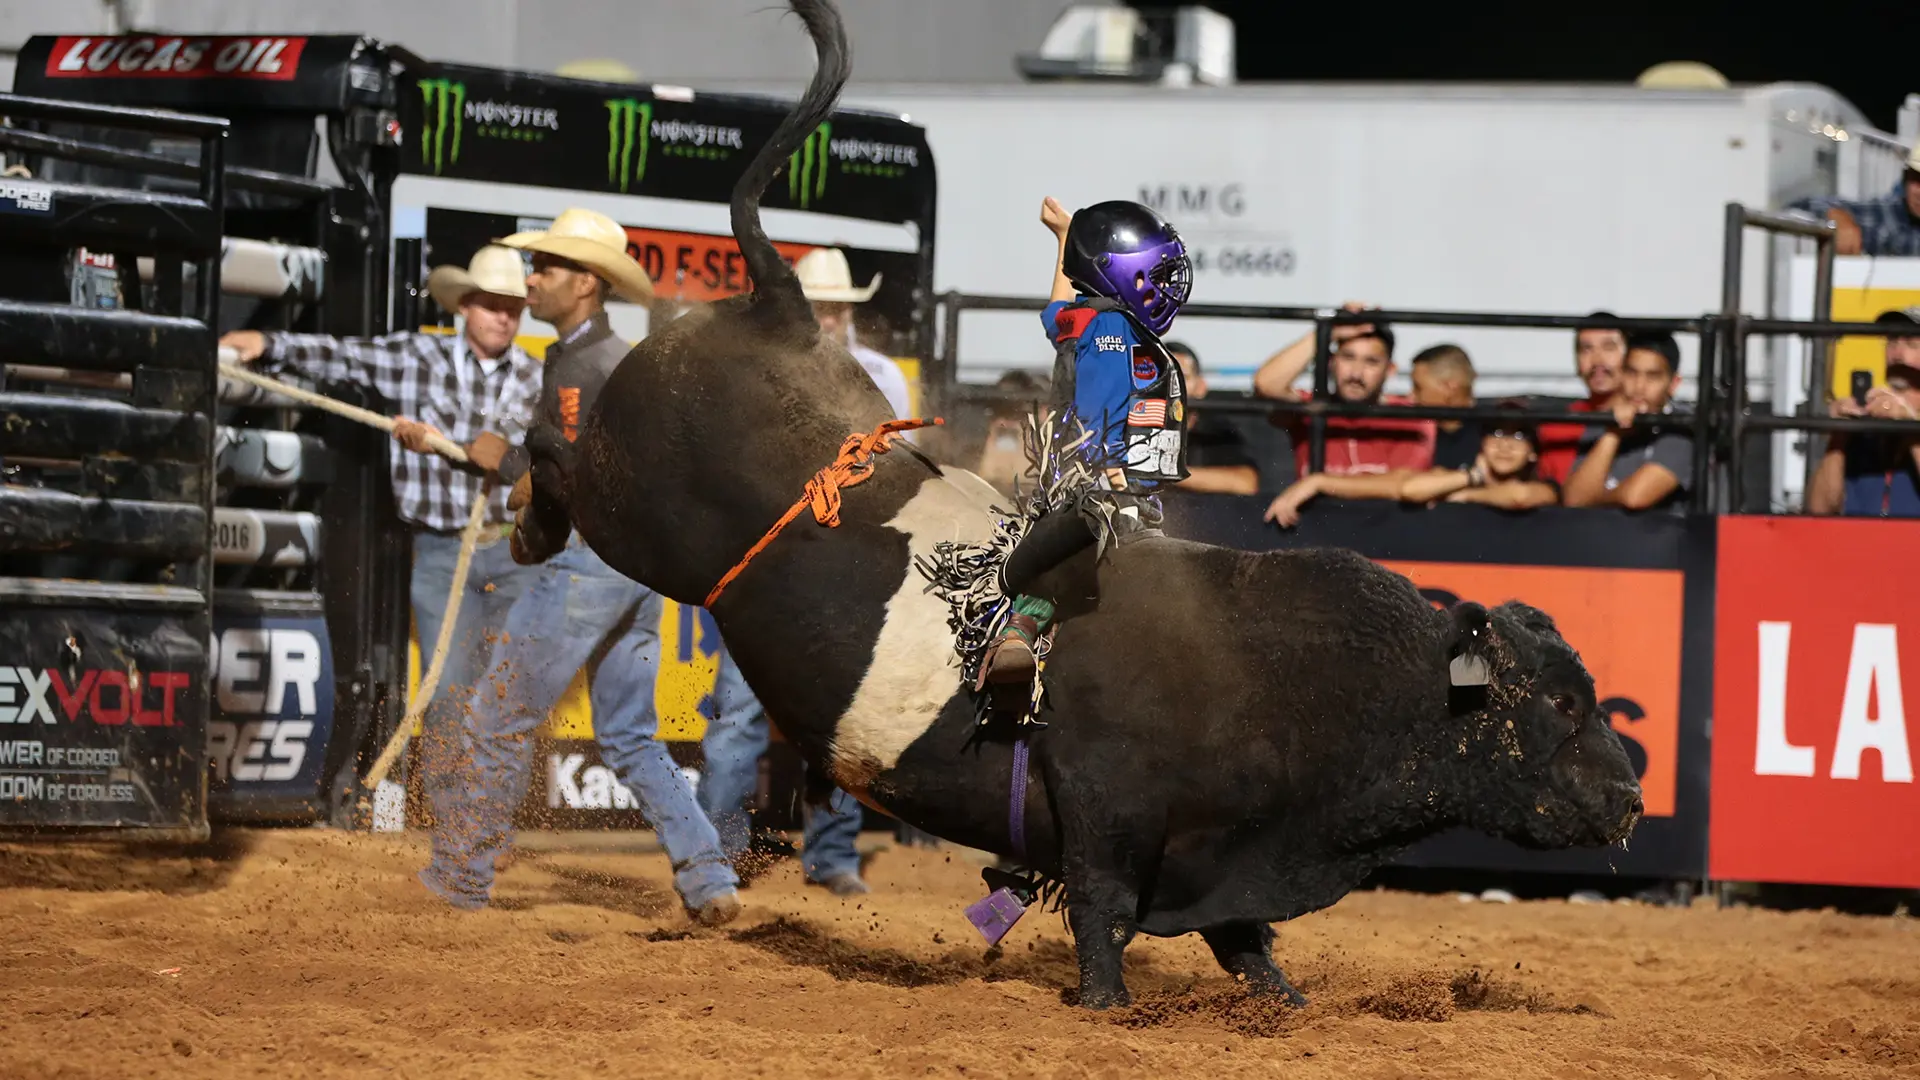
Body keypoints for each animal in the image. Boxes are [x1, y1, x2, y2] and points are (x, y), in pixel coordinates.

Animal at [506, 0, 1635, 1006]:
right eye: (1562, 704)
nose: (1628, 795)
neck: (1300, 671)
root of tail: (779, 313)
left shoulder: (1223, 853)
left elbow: (1246, 943)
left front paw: (1284, 1003)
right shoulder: (1106, 805)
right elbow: (1104, 911)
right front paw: (1104, 1003)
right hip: (637, 515)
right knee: (555, 450)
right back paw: (525, 519)